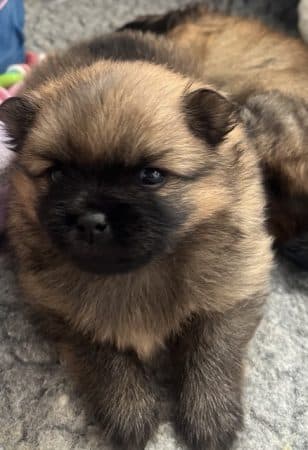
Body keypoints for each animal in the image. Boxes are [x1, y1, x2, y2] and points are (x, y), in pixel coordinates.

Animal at [0, 15, 270, 450]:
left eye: (150, 176)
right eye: (57, 174)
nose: (90, 219)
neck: (140, 272)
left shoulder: (235, 284)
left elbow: (212, 346)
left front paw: (209, 414)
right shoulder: (61, 309)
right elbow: (105, 356)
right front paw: (130, 410)